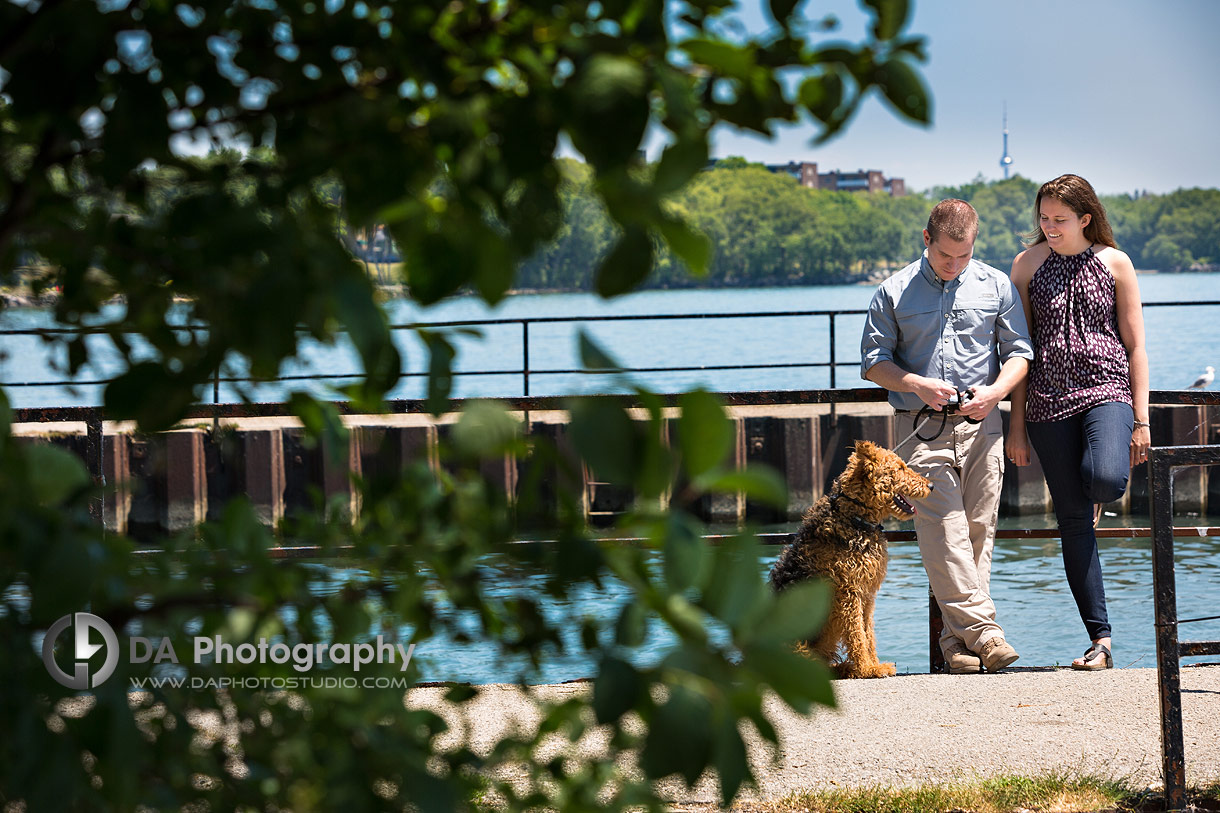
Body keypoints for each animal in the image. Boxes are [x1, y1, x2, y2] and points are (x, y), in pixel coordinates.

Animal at [771, 439, 932, 673]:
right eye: (900, 468)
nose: (931, 486)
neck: (855, 517)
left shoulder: (866, 594)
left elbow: (867, 633)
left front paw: (875, 665)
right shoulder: (848, 593)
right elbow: (857, 634)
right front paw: (866, 668)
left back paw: (845, 668)